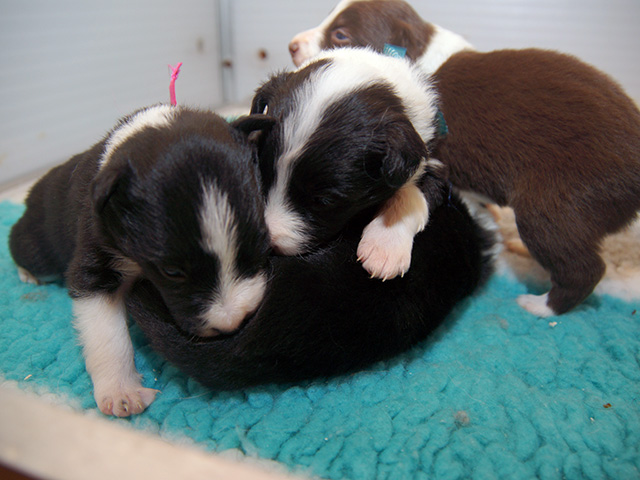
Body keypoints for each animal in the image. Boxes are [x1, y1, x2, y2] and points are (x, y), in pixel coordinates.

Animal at [9, 106, 275, 416]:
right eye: (171, 272)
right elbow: (108, 336)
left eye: (261, 243)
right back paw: (27, 274)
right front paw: (121, 393)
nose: (232, 324)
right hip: (38, 245)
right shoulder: (94, 269)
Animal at [250, 47, 449, 280]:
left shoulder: (434, 162)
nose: (269, 242)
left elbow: (412, 193)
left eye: (323, 201)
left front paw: (384, 246)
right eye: (260, 175)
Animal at [288, 0, 640, 317]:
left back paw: (539, 306)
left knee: (582, 268)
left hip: (553, 206)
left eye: (341, 35)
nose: (292, 45)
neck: (419, 53)